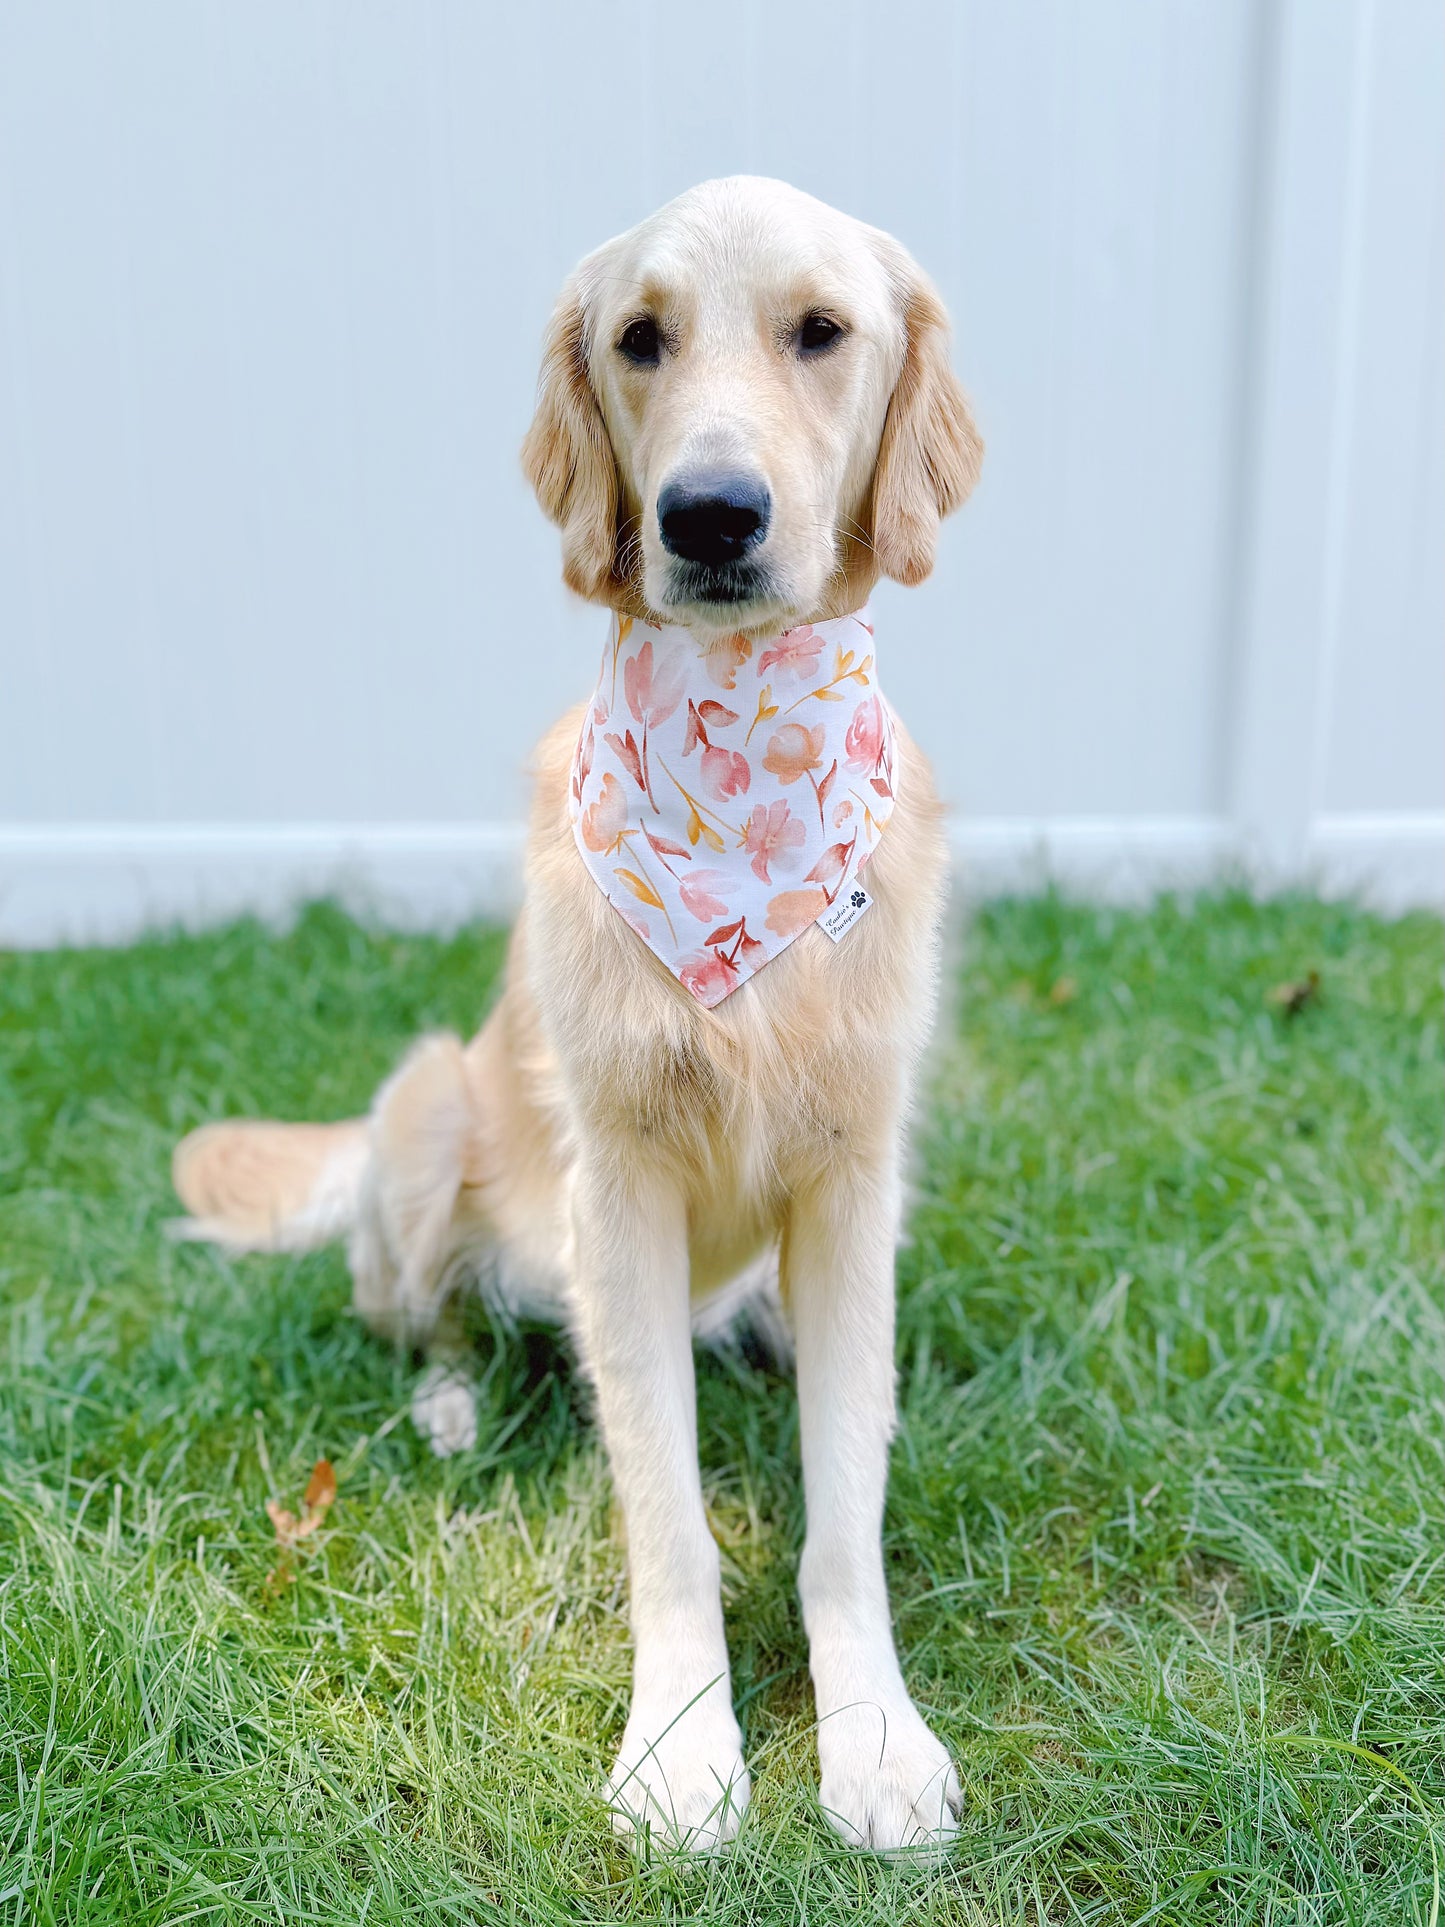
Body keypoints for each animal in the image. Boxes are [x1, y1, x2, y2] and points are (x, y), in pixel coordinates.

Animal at [172, 177, 986, 1849]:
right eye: (640, 338)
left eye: (822, 330)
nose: (708, 514)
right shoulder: (619, 1180)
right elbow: (666, 1511)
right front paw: (679, 1744)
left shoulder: (856, 1169)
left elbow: (843, 1505)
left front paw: (873, 1734)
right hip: (424, 1113)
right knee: (421, 1315)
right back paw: (446, 1405)